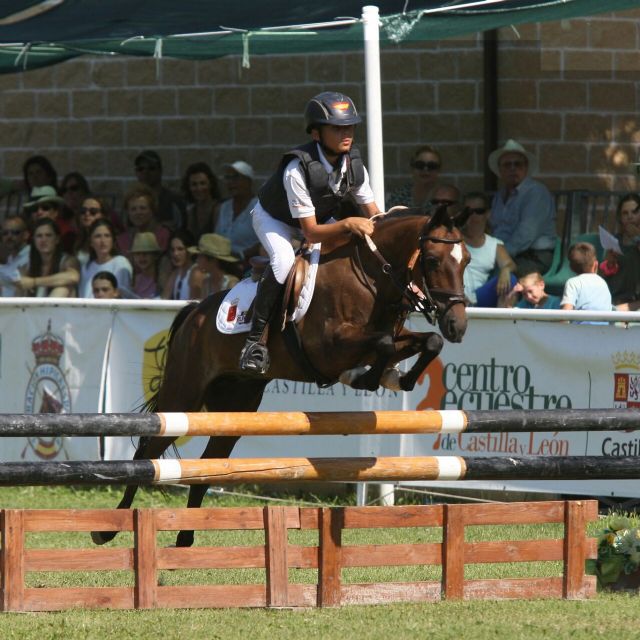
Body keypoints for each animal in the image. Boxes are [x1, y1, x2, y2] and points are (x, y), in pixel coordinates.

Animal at [91, 208, 470, 548]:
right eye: (433, 260)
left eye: (465, 260)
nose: (458, 326)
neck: (372, 278)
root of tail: (195, 311)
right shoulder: (329, 348)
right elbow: (383, 343)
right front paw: (364, 377)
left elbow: (425, 342)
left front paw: (398, 379)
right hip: (183, 394)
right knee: (146, 452)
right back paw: (107, 529)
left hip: (236, 408)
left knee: (208, 463)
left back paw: (185, 539)